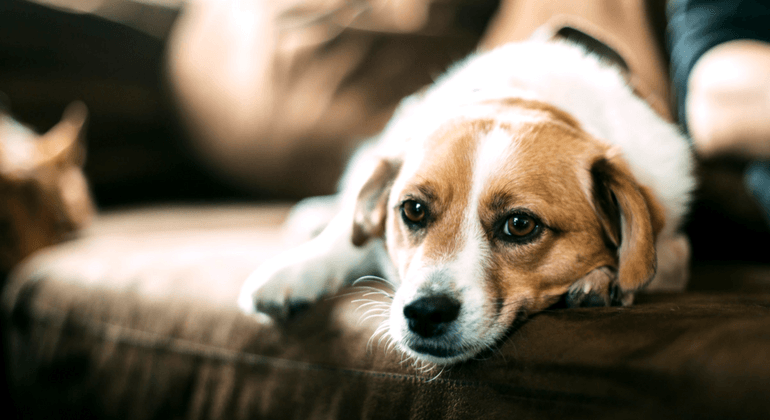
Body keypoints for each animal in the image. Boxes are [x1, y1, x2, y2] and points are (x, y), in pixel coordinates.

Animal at [237, 41, 692, 366]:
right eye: (413, 210)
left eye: (520, 224)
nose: (424, 313)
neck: (525, 97)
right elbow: (347, 237)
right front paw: (293, 271)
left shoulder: (674, 246)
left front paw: (602, 279)